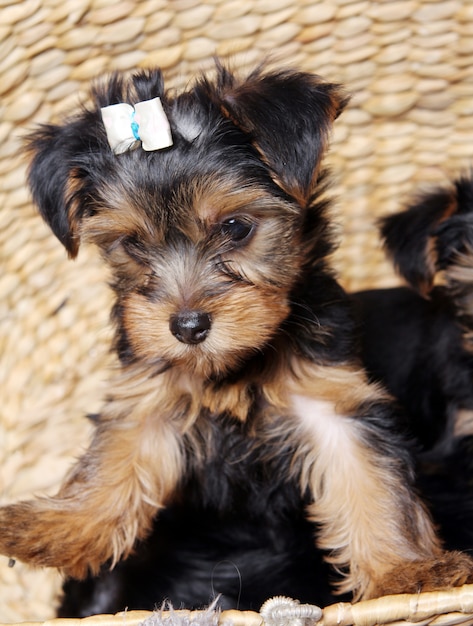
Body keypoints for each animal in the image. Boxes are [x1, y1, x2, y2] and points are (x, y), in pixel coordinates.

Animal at [1, 61, 470, 608]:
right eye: (132, 244)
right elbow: (119, 451)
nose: (187, 327)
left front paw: (406, 571)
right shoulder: (154, 390)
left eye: (235, 227)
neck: (237, 365)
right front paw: (62, 525)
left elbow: (371, 478)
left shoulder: (331, 395)